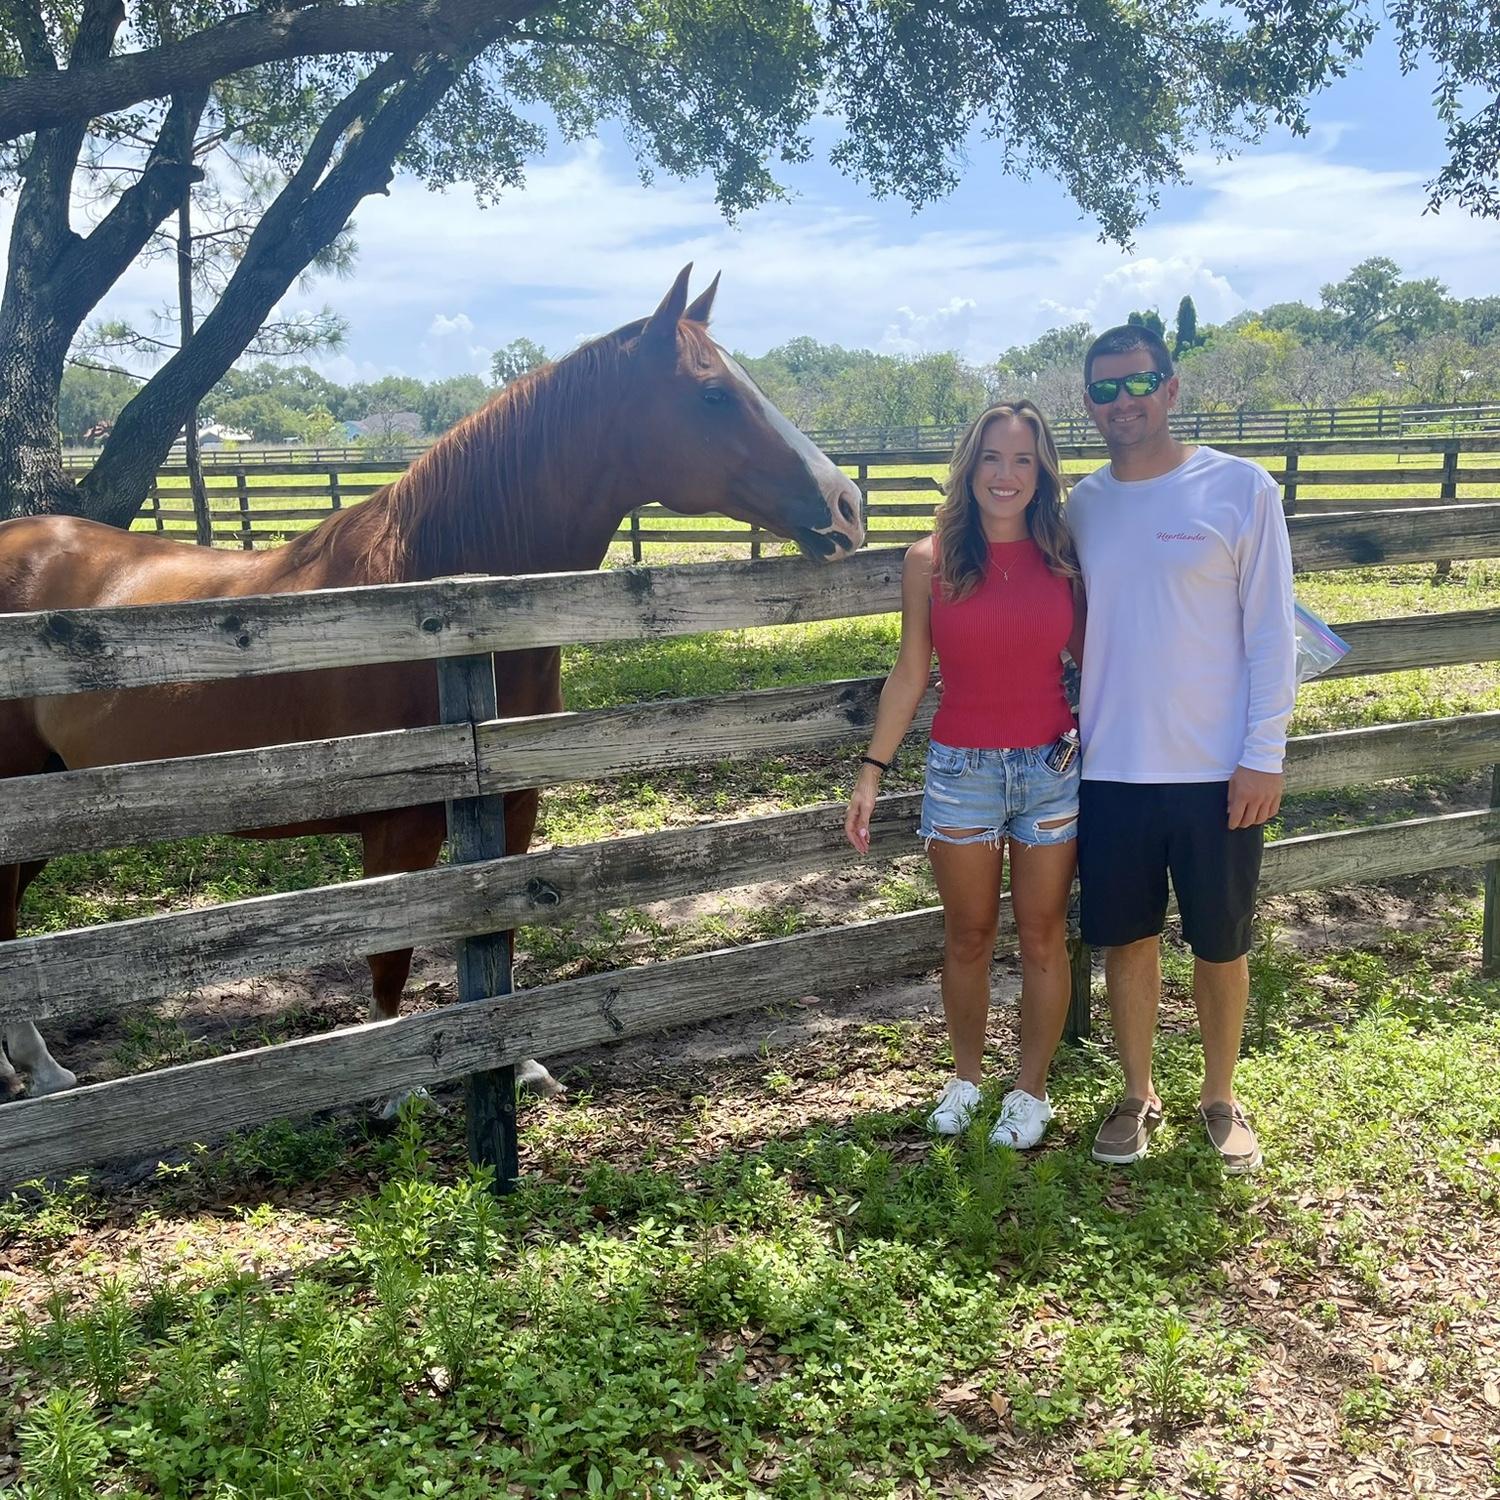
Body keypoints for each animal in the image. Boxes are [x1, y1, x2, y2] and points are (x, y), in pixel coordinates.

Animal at [0, 265, 865, 1104]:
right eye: (713, 393)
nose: (848, 506)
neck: (437, 602)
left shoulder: (512, 808)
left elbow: (499, 930)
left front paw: (520, 1063)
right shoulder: (399, 828)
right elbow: (391, 956)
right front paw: (399, 1091)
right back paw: (41, 1072)